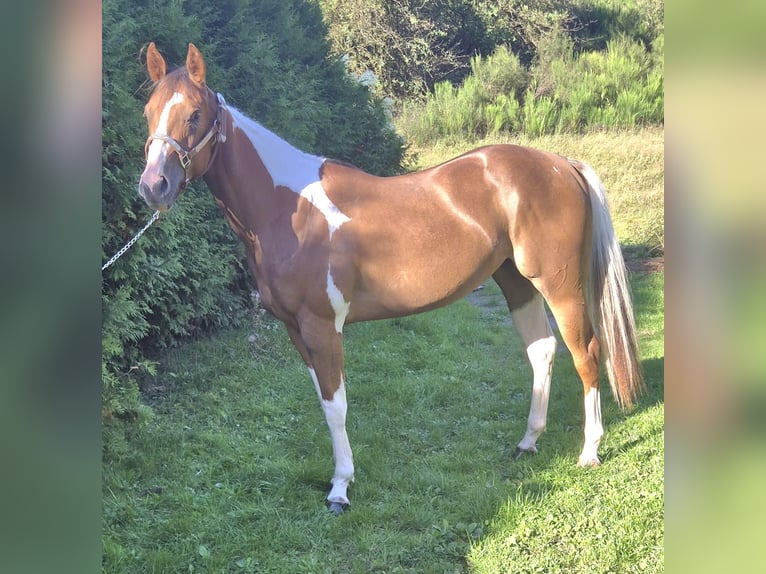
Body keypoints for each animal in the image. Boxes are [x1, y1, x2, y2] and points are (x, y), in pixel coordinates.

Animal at [138, 42, 644, 514]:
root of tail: (562, 164)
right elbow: (324, 402)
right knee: (542, 351)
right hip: (517, 282)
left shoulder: (323, 327)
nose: (152, 187)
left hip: (560, 286)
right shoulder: (296, 330)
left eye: (194, 114)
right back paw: (529, 441)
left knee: (587, 353)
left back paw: (589, 451)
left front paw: (340, 488)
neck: (288, 208)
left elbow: (337, 405)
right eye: (148, 112)